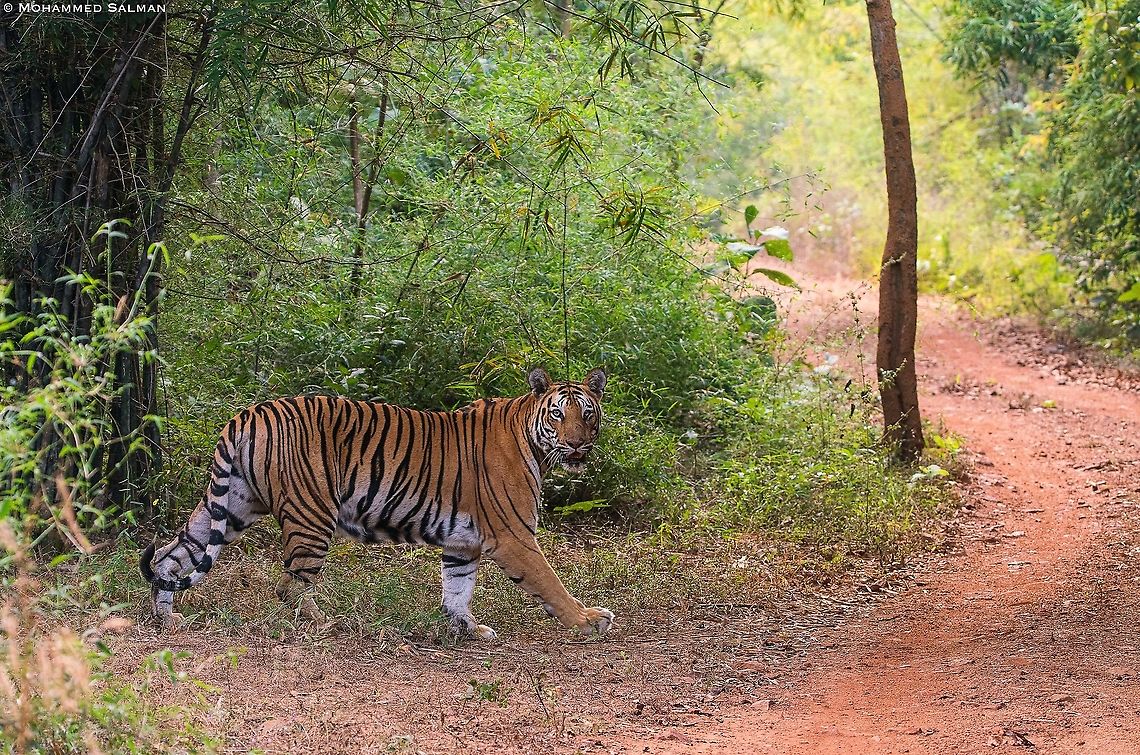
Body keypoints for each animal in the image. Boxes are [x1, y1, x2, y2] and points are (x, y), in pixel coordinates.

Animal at [139, 367, 613, 639]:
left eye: (588, 414)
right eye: (558, 414)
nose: (577, 444)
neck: (534, 441)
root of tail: (249, 413)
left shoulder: (462, 543)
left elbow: (457, 588)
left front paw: (466, 628)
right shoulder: (513, 535)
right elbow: (550, 582)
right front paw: (587, 620)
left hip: (231, 506)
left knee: (169, 557)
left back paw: (167, 620)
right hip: (312, 514)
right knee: (291, 584)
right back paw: (323, 624)